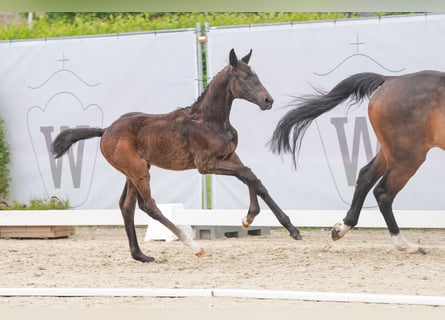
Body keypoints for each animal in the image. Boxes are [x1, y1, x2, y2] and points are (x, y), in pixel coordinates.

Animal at [52, 48, 302, 262]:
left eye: (255, 75)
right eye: (243, 77)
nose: (268, 101)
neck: (210, 120)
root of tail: (105, 130)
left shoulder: (230, 157)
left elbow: (254, 180)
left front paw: (289, 228)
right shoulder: (206, 164)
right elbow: (249, 175)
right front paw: (249, 217)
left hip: (134, 171)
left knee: (127, 206)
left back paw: (140, 255)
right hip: (137, 170)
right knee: (148, 205)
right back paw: (194, 247)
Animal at [268, 70, 445, 255]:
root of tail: (390, 80)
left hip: (392, 152)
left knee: (365, 177)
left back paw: (341, 228)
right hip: (408, 156)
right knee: (383, 193)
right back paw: (405, 244)